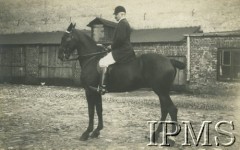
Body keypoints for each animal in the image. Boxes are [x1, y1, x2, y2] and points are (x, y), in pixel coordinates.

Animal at [58, 23, 186, 142]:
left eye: (66, 38)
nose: (60, 56)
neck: (91, 59)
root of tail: (169, 60)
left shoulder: (89, 91)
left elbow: (91, 111)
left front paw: (86, 133)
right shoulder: (97, 92)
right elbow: (99, 109)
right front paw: (96, 131)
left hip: (161, 91)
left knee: (171, 109)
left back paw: (171, 138)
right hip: (161, 92)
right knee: (165, 110)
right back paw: (155, 135)